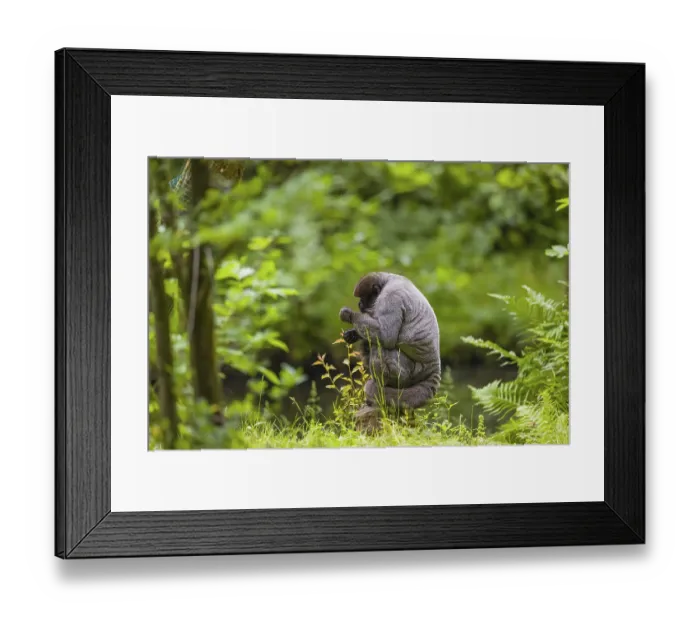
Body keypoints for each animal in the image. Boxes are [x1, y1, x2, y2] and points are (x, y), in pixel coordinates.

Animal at [339, 272, 441, 430]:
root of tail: (435, 366)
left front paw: (349, 315)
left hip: (412, 373)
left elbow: (386, 336)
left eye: (363, 298)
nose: (359, 304)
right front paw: (353, 334)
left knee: (380, 347)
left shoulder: (390, 298)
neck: (388, 280)